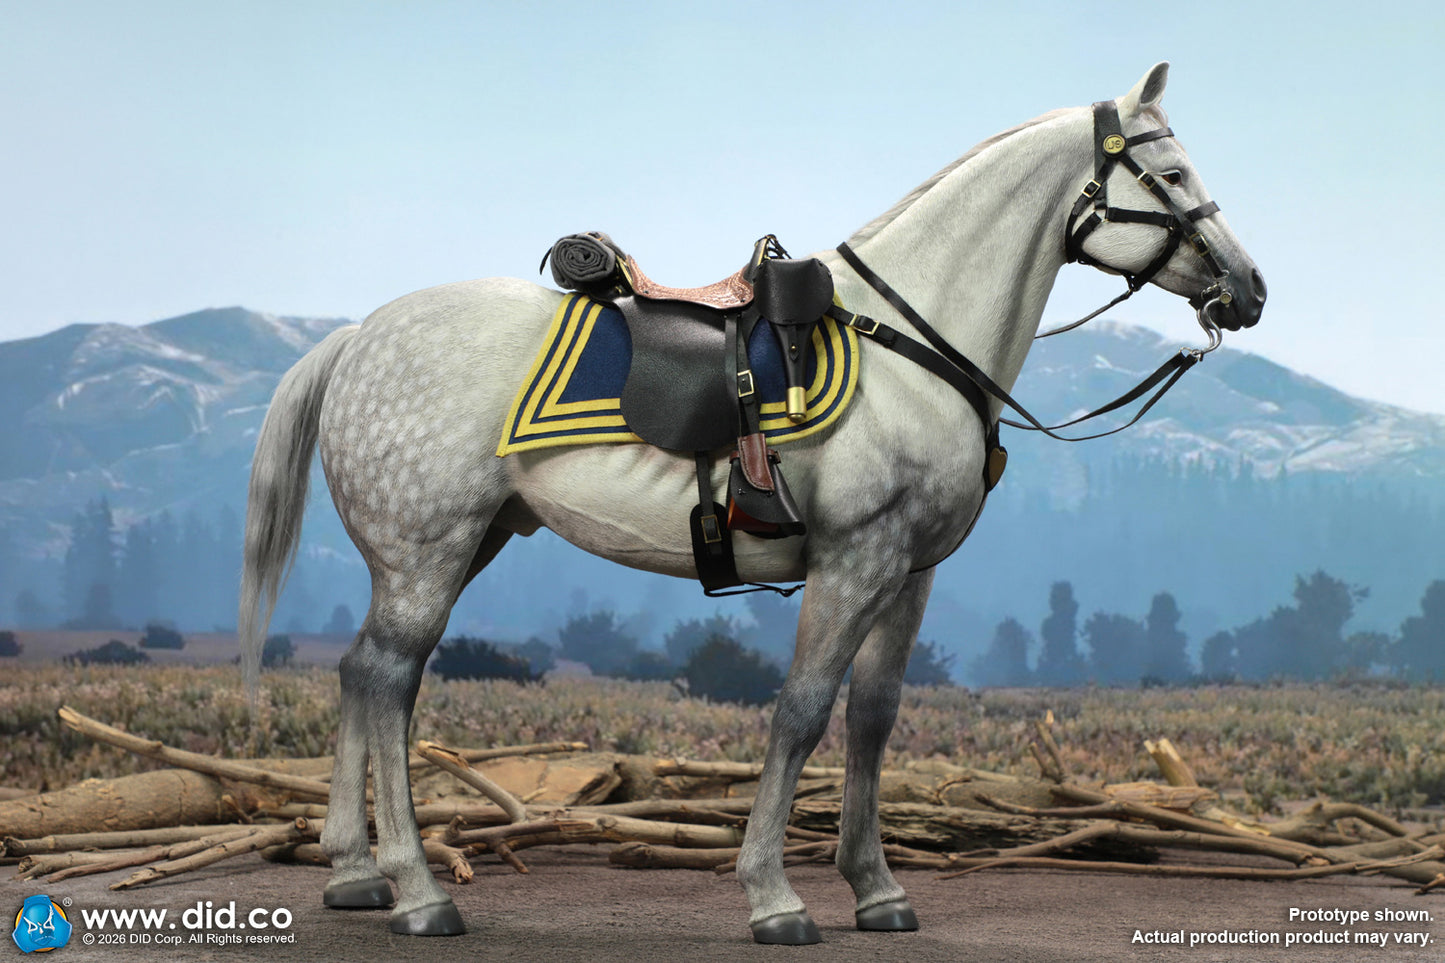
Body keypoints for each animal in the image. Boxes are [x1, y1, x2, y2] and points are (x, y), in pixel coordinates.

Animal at [239, 62, 1265, 945]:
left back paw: (354, 873)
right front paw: (773, 895)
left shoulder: (909, 574)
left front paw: (876, 888)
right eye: (1171, 171)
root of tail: (357, 336)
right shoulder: (853, 561)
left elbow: (873, 717)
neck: (910, 340)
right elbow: (802, 712)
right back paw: (416, 891)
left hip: (460, 546)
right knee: (388, 683)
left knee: (359, 674)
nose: (1248, 288)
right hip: (427, 553)